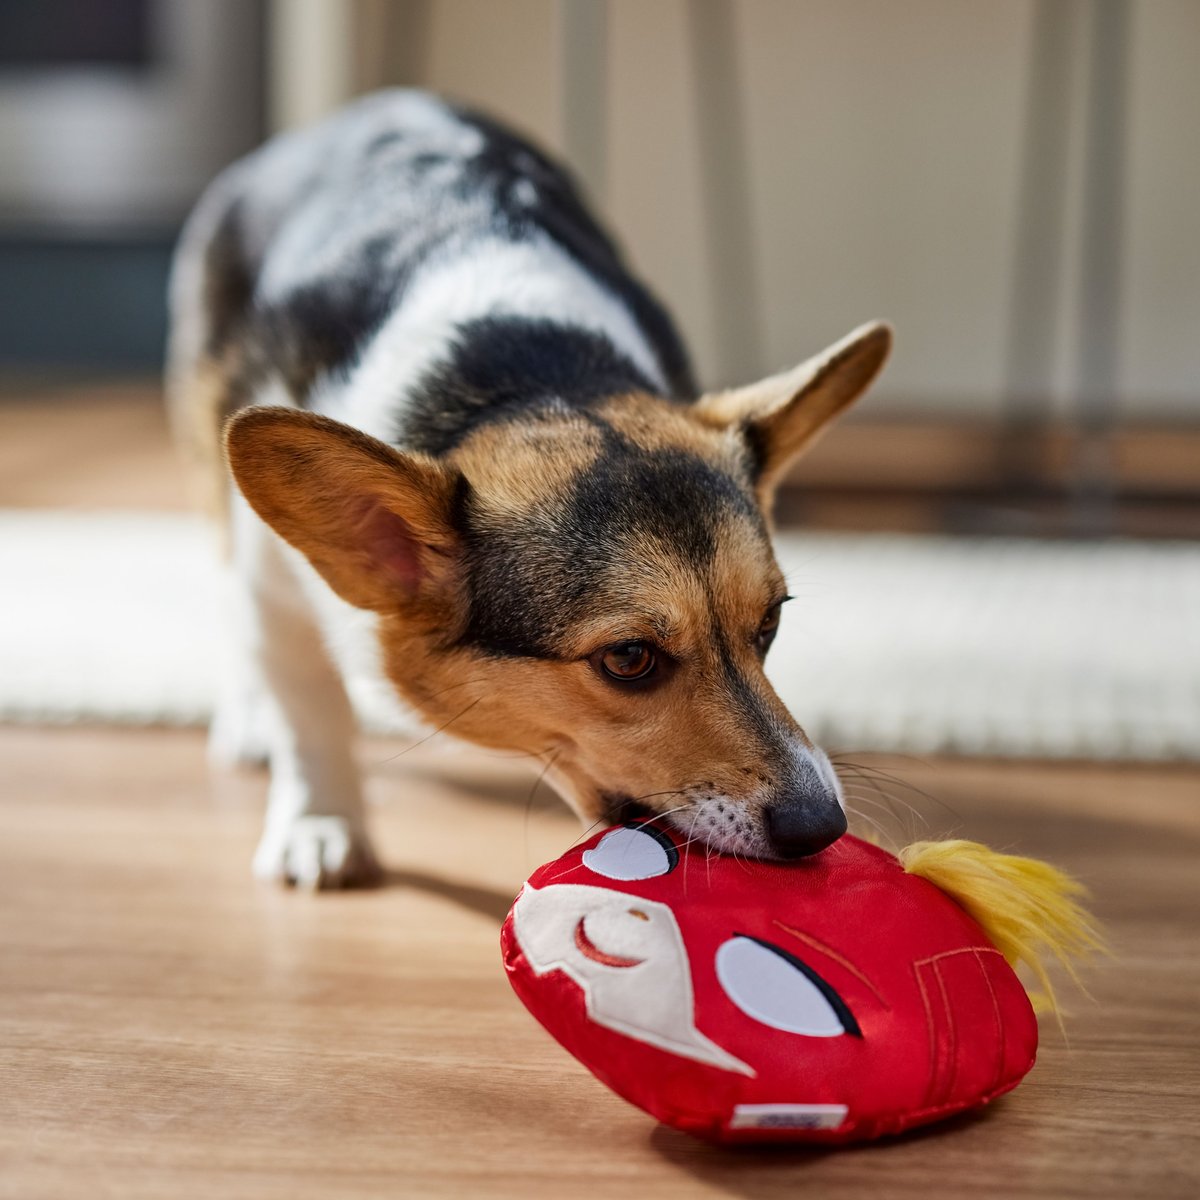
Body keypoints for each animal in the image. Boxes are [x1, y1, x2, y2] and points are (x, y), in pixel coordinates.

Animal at [164, 87, 888, 892]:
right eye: (628, 659)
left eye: (771, 624)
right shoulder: (274, 577)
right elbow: (310, 710)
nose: (822, 826)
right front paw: (320, 824)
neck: (526, 384)